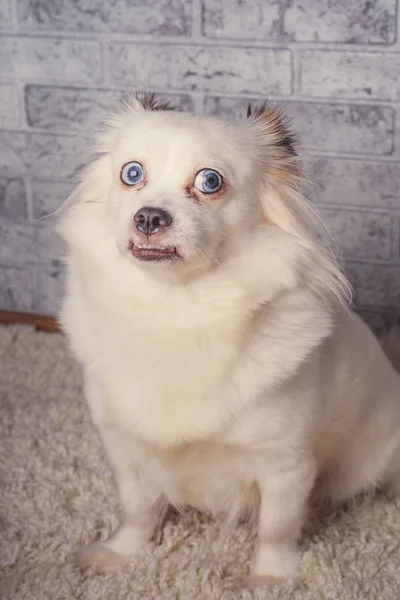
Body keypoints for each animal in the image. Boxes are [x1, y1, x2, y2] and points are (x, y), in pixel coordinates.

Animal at [57, 94, 400, 584]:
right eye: (132, 174)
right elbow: (138, 509)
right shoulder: (124, 447)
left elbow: (276, 527)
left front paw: (269, 580)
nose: (149, 216)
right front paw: (121, 554)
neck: (178, 312)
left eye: (210, 181)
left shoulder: (286, 465)